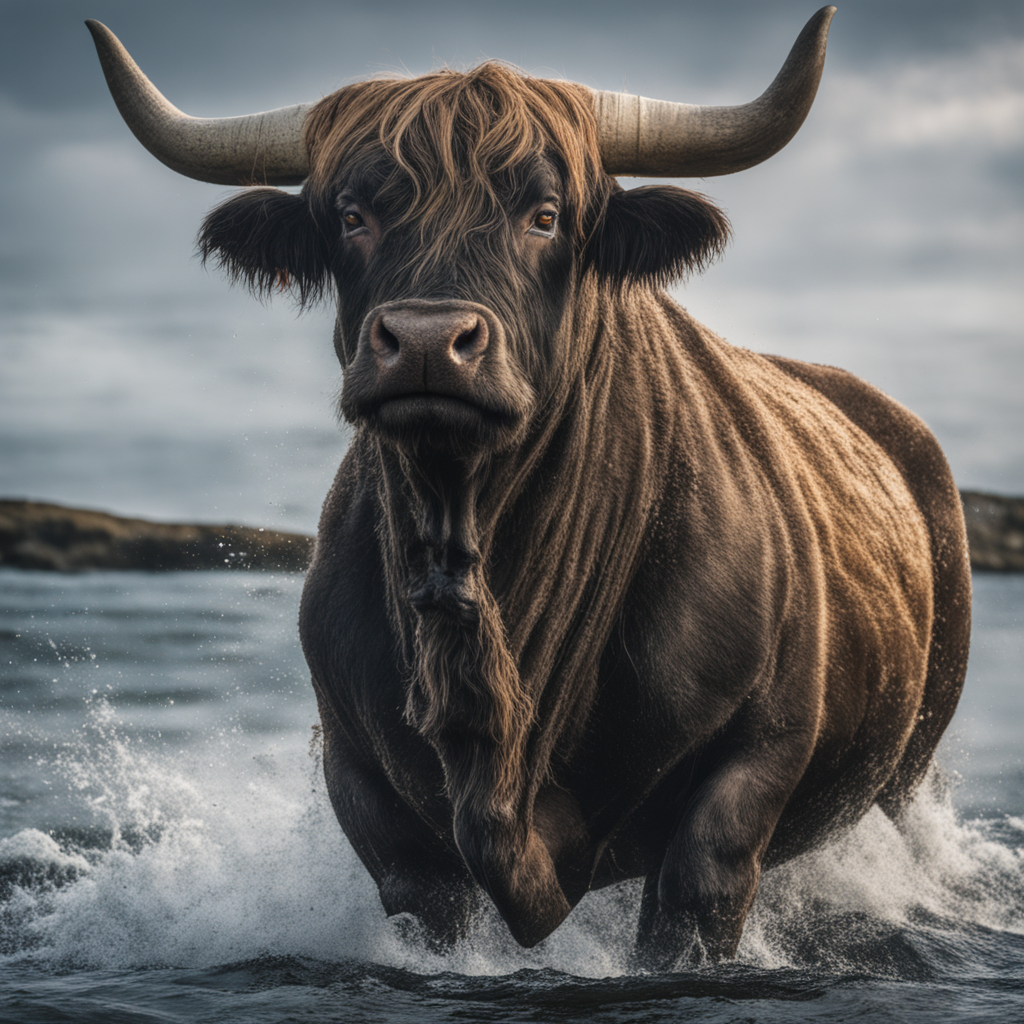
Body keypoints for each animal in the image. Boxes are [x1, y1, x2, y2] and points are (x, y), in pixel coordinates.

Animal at [87, 7, 971, 966]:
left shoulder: (755, 758)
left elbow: (693, 898)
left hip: (911, 767)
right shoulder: (365, 786)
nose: (428, 340)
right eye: (352, 215)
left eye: (544, 215)